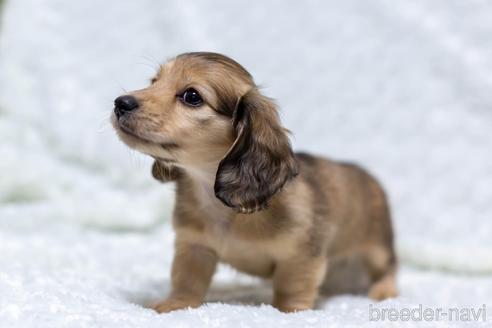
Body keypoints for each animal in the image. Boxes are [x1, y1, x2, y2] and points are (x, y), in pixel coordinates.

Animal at [110, 52, 396, 312]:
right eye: (154, 81)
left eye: (192, 96)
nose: (120, 103)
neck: (221, 205)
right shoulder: (194, 247)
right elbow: (186, 281)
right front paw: (174, 305)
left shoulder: (301, 257)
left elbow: (292, 290)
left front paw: (290, 312)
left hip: (378, 248)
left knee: (389, 268)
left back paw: (384, 291)